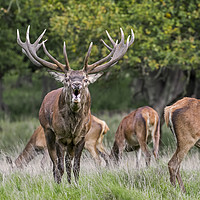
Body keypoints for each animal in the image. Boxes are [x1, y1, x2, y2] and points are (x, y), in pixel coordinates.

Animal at [16, 25, 134, 184]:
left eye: (85, 79)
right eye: (67, 78)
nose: (76, 84)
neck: (73, 126)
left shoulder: (81, 138)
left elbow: (76, 166)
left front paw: (75, 185)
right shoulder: (59, 137)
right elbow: (59, 166)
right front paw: (59, 185)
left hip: (75, 143)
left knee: (69, 162)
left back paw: (69, 181)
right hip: (48, 132)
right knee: (55, 163)